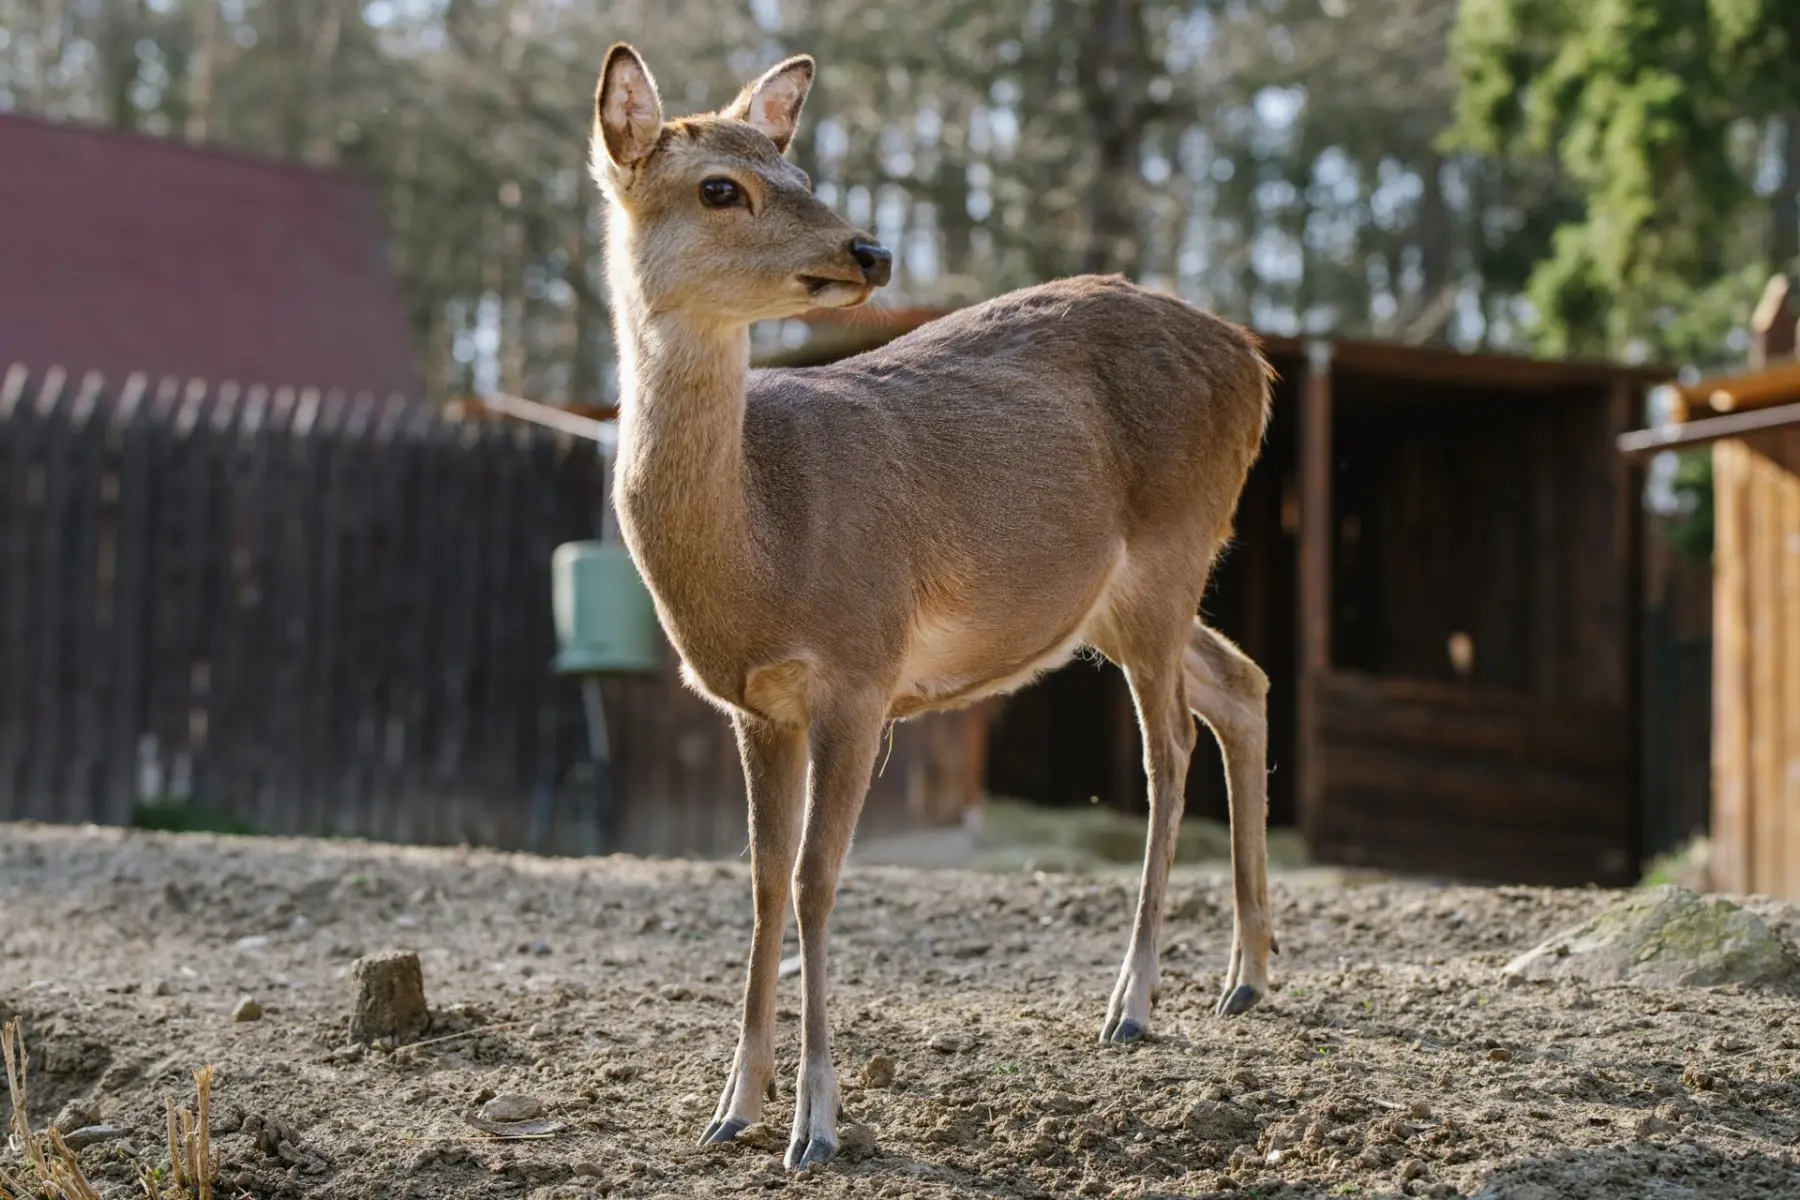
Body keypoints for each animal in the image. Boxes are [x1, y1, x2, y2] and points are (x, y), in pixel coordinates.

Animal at [590, 43, 1276, 1171]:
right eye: (721, 187)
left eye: (801, 172)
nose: (869, 250)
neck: (764, 547)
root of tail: (1256, 362)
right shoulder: (753, 705)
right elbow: (763, 878)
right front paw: (732, 1105)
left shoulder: (860, 670)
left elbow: (819, 879)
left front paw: (817, 1123)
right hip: (1117, 595)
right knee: (1241, 683)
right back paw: (1249, 975)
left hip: (1174, 545)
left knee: (1170, 743)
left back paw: (1133, 1002)